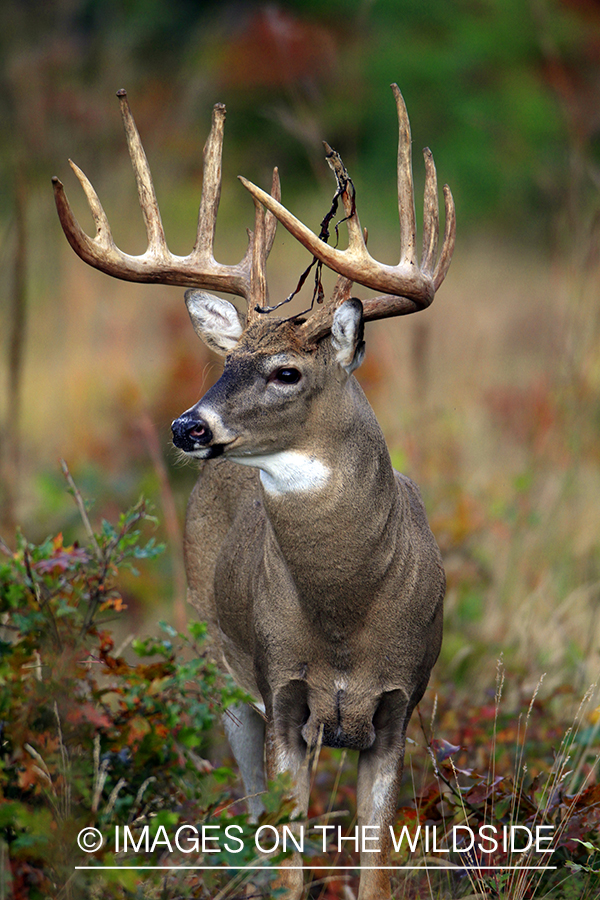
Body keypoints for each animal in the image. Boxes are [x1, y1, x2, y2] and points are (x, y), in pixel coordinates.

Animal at [54, 86, 454, 900]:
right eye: (227, 362)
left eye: (286, 372)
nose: (188, 426)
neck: (347, 615)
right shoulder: (282, 694)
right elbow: (291, 857)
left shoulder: (402, 702)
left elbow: (373, 869)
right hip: (222, 666)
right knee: (252, 814)